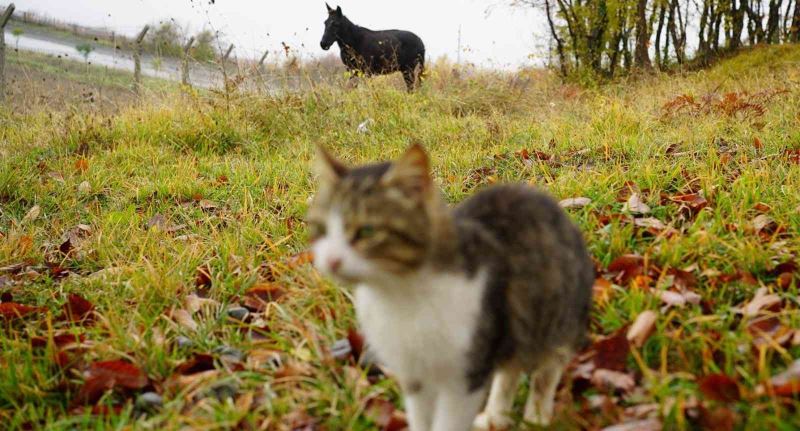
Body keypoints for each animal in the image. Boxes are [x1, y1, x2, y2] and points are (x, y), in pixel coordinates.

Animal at [306, 146, 592, 431]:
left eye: (366, 231)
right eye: (321, 229)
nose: (331, 260)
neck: (401, 297)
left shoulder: (466, 373)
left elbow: (448, 422)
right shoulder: (414, 375)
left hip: (557, 319)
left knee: (547, 369)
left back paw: (537, 417)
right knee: (510, 370)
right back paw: (495, 417)